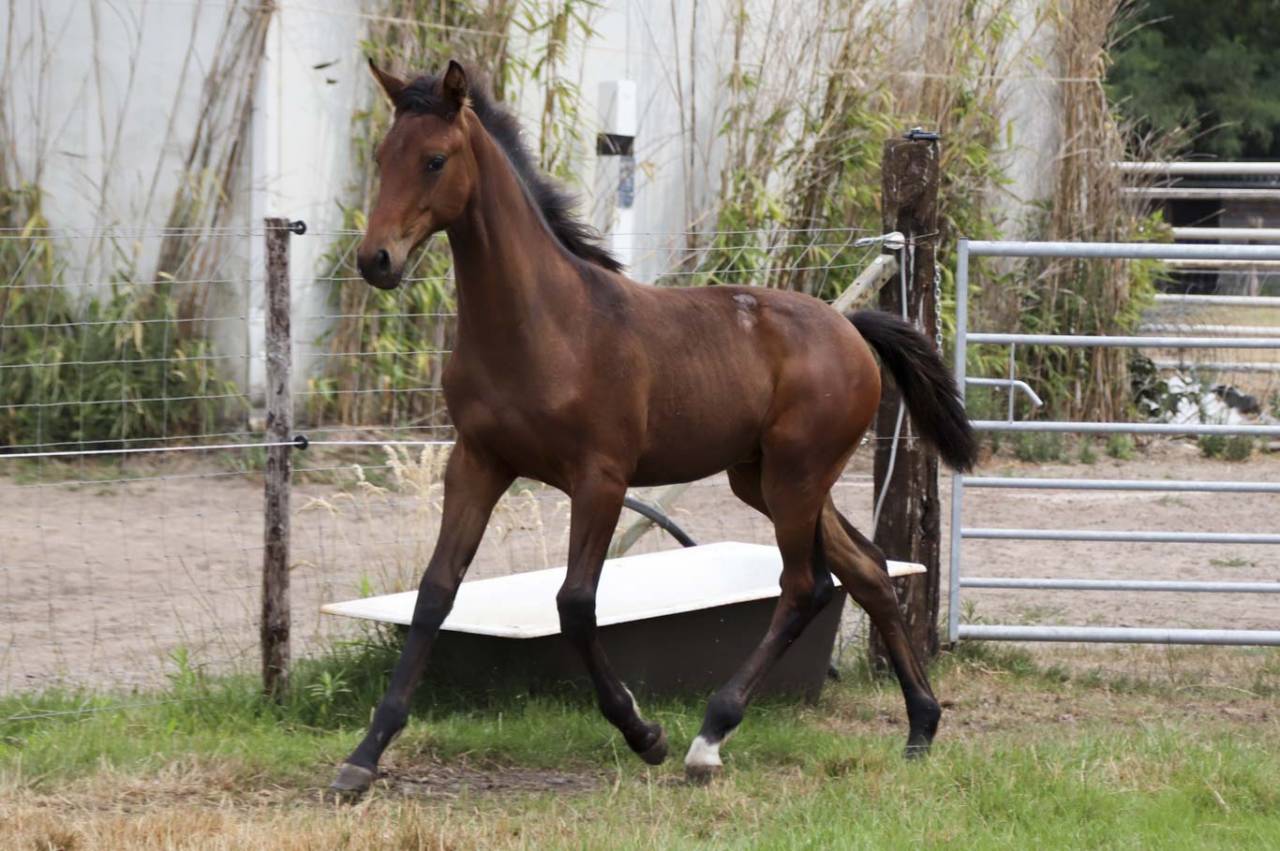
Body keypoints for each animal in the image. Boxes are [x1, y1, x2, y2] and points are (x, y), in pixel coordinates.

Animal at [329, 58, 976, 797]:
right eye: (383, 157)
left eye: (435, 159)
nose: (376, 260)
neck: (543, 324)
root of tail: (851, 328)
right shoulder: (477, 463)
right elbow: (435, 593)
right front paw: (365, 753)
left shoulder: (601, 478)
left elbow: (575, 603)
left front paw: (645, 733)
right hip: (766, 478)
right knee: (866, 569)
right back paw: (921, 726)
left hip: (796, 475)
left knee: (804, 585)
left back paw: (709, 736)